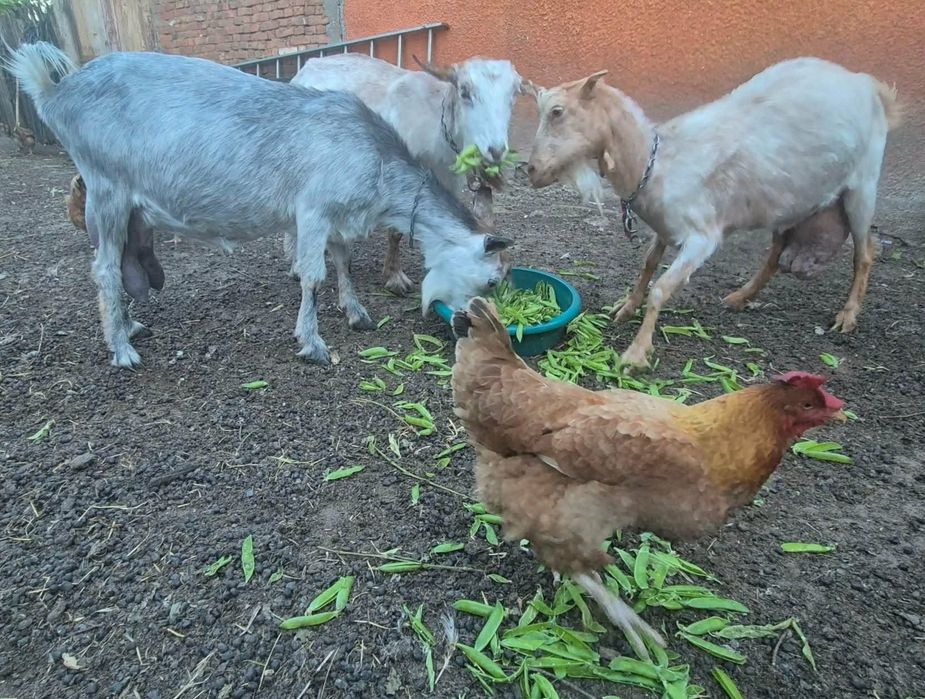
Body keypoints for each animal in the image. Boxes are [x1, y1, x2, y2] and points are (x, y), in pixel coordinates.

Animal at [291, 52, 526, 295]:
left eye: (514, 93)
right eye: (464, 91)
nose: (496, 151)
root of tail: (310, 64)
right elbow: (396, 231)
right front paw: (395, 277)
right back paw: (296, 265)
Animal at [525, 58, 900, 370]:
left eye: (557, 111)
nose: (531, 170)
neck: (655, 163)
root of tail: (867, 84)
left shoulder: (701, 236)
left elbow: (661, 288)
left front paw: (636, 353)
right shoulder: (664, 228)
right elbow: (647, 264)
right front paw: (626, 307)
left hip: (863, 184)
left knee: (865, 253)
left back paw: (847, 316)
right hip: (791, 202)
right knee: (776, 252)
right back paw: (741, 297)